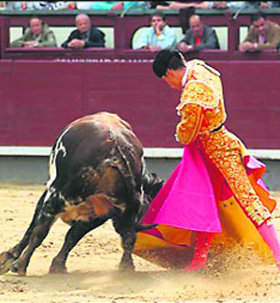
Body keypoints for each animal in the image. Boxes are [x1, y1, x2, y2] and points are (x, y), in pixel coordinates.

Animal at [0, 111, 163, 276]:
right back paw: (126, 268)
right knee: (128, 236)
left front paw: (9, 258)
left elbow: (35, 227)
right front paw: (58, 266)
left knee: (40, 231)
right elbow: (73, 235)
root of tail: (117, 148)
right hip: (117, 209)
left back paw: (20, 266)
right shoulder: (99, 215)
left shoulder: (51, 193)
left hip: (57, 195)